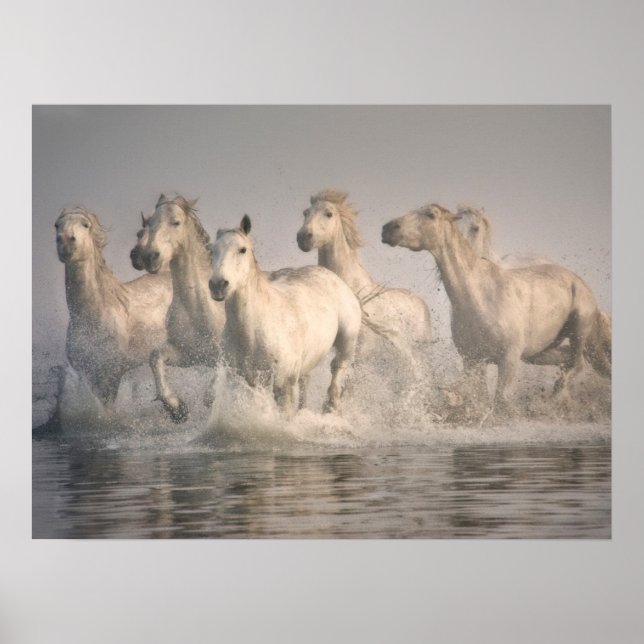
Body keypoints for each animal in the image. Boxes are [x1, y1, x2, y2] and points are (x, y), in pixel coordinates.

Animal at [55, 207, 172, 409]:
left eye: (85, 225)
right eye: (56, 225)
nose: (65, 241)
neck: (91, 317)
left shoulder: (112, 373)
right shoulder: (86, 373)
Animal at [137, 194, 225, 422]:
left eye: (175, 222)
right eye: (149, 223)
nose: (150, 256)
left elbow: (211, 393)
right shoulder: (188, 354)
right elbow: (155, 357)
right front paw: (176, 408)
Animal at [209, 215, 362, 417]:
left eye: (242, 249)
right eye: (212, 250)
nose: (218, 285)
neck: (252, 332)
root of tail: (333, 277)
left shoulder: (283, 386)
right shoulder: (244, 381)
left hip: (346, 344)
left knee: (337, 372)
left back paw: (330, 408)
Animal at [296, 190, 432, 374]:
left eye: (328, 213)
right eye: (305, 213)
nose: (303, 237)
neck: (352, 288)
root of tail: (422, 305)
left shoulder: (362, 351)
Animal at [382, 203, 611, 413]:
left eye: (431, 214)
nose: (387, 229)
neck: (480, 298)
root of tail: (579, 281)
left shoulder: (508, 359)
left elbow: (500, 401)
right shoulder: (473, 360)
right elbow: (480, 399)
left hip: (578, 329)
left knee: (576, 364)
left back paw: (553, 400)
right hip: (538, 352)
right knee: (566, 360)